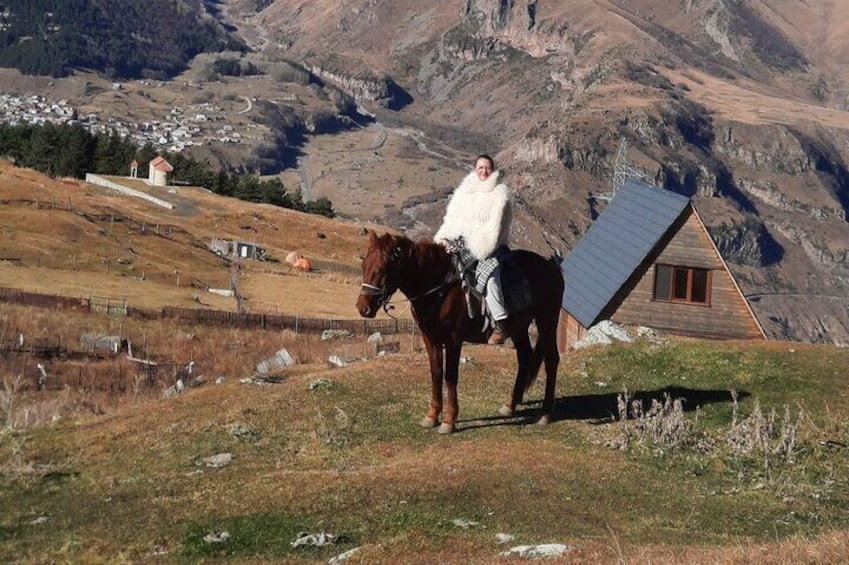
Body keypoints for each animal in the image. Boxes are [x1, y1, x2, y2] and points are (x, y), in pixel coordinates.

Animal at [356, 231, 564, 434]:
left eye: (383, 267)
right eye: (364, 265)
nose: (362, 308)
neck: (440, 290)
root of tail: (552, 267)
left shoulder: (453, 339)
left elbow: (450, 375)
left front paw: (449, 420)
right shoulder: (430, 338)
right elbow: (436, 373)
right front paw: (432, 416)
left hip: (547, 321)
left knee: (551, 360)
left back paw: (545, 414)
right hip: (519, 328)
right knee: (525, 357)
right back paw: (510, 405)